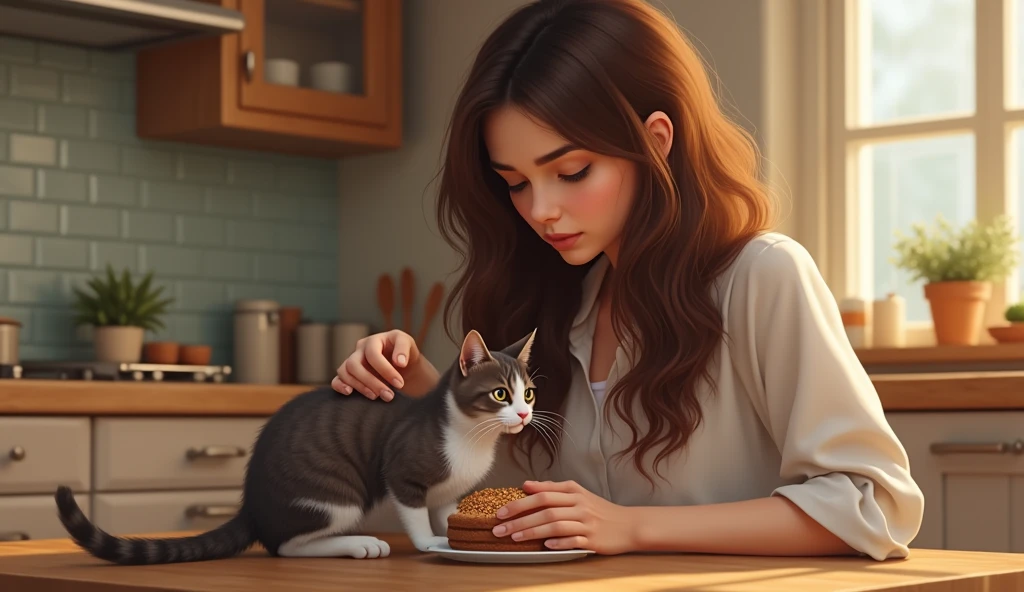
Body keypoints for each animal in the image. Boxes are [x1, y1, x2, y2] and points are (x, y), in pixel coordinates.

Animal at [52, 327, 540, 561]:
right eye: (500, 394)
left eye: (529, 394)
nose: (523, 415)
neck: (471, 436)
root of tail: (252, 506)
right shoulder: (403, 471)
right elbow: (416, 515)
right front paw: (427, 543)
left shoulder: (446, 491)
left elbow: (444, 512)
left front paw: (448, 535)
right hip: (337, 493)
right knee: (284, 545)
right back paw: (358, 544)